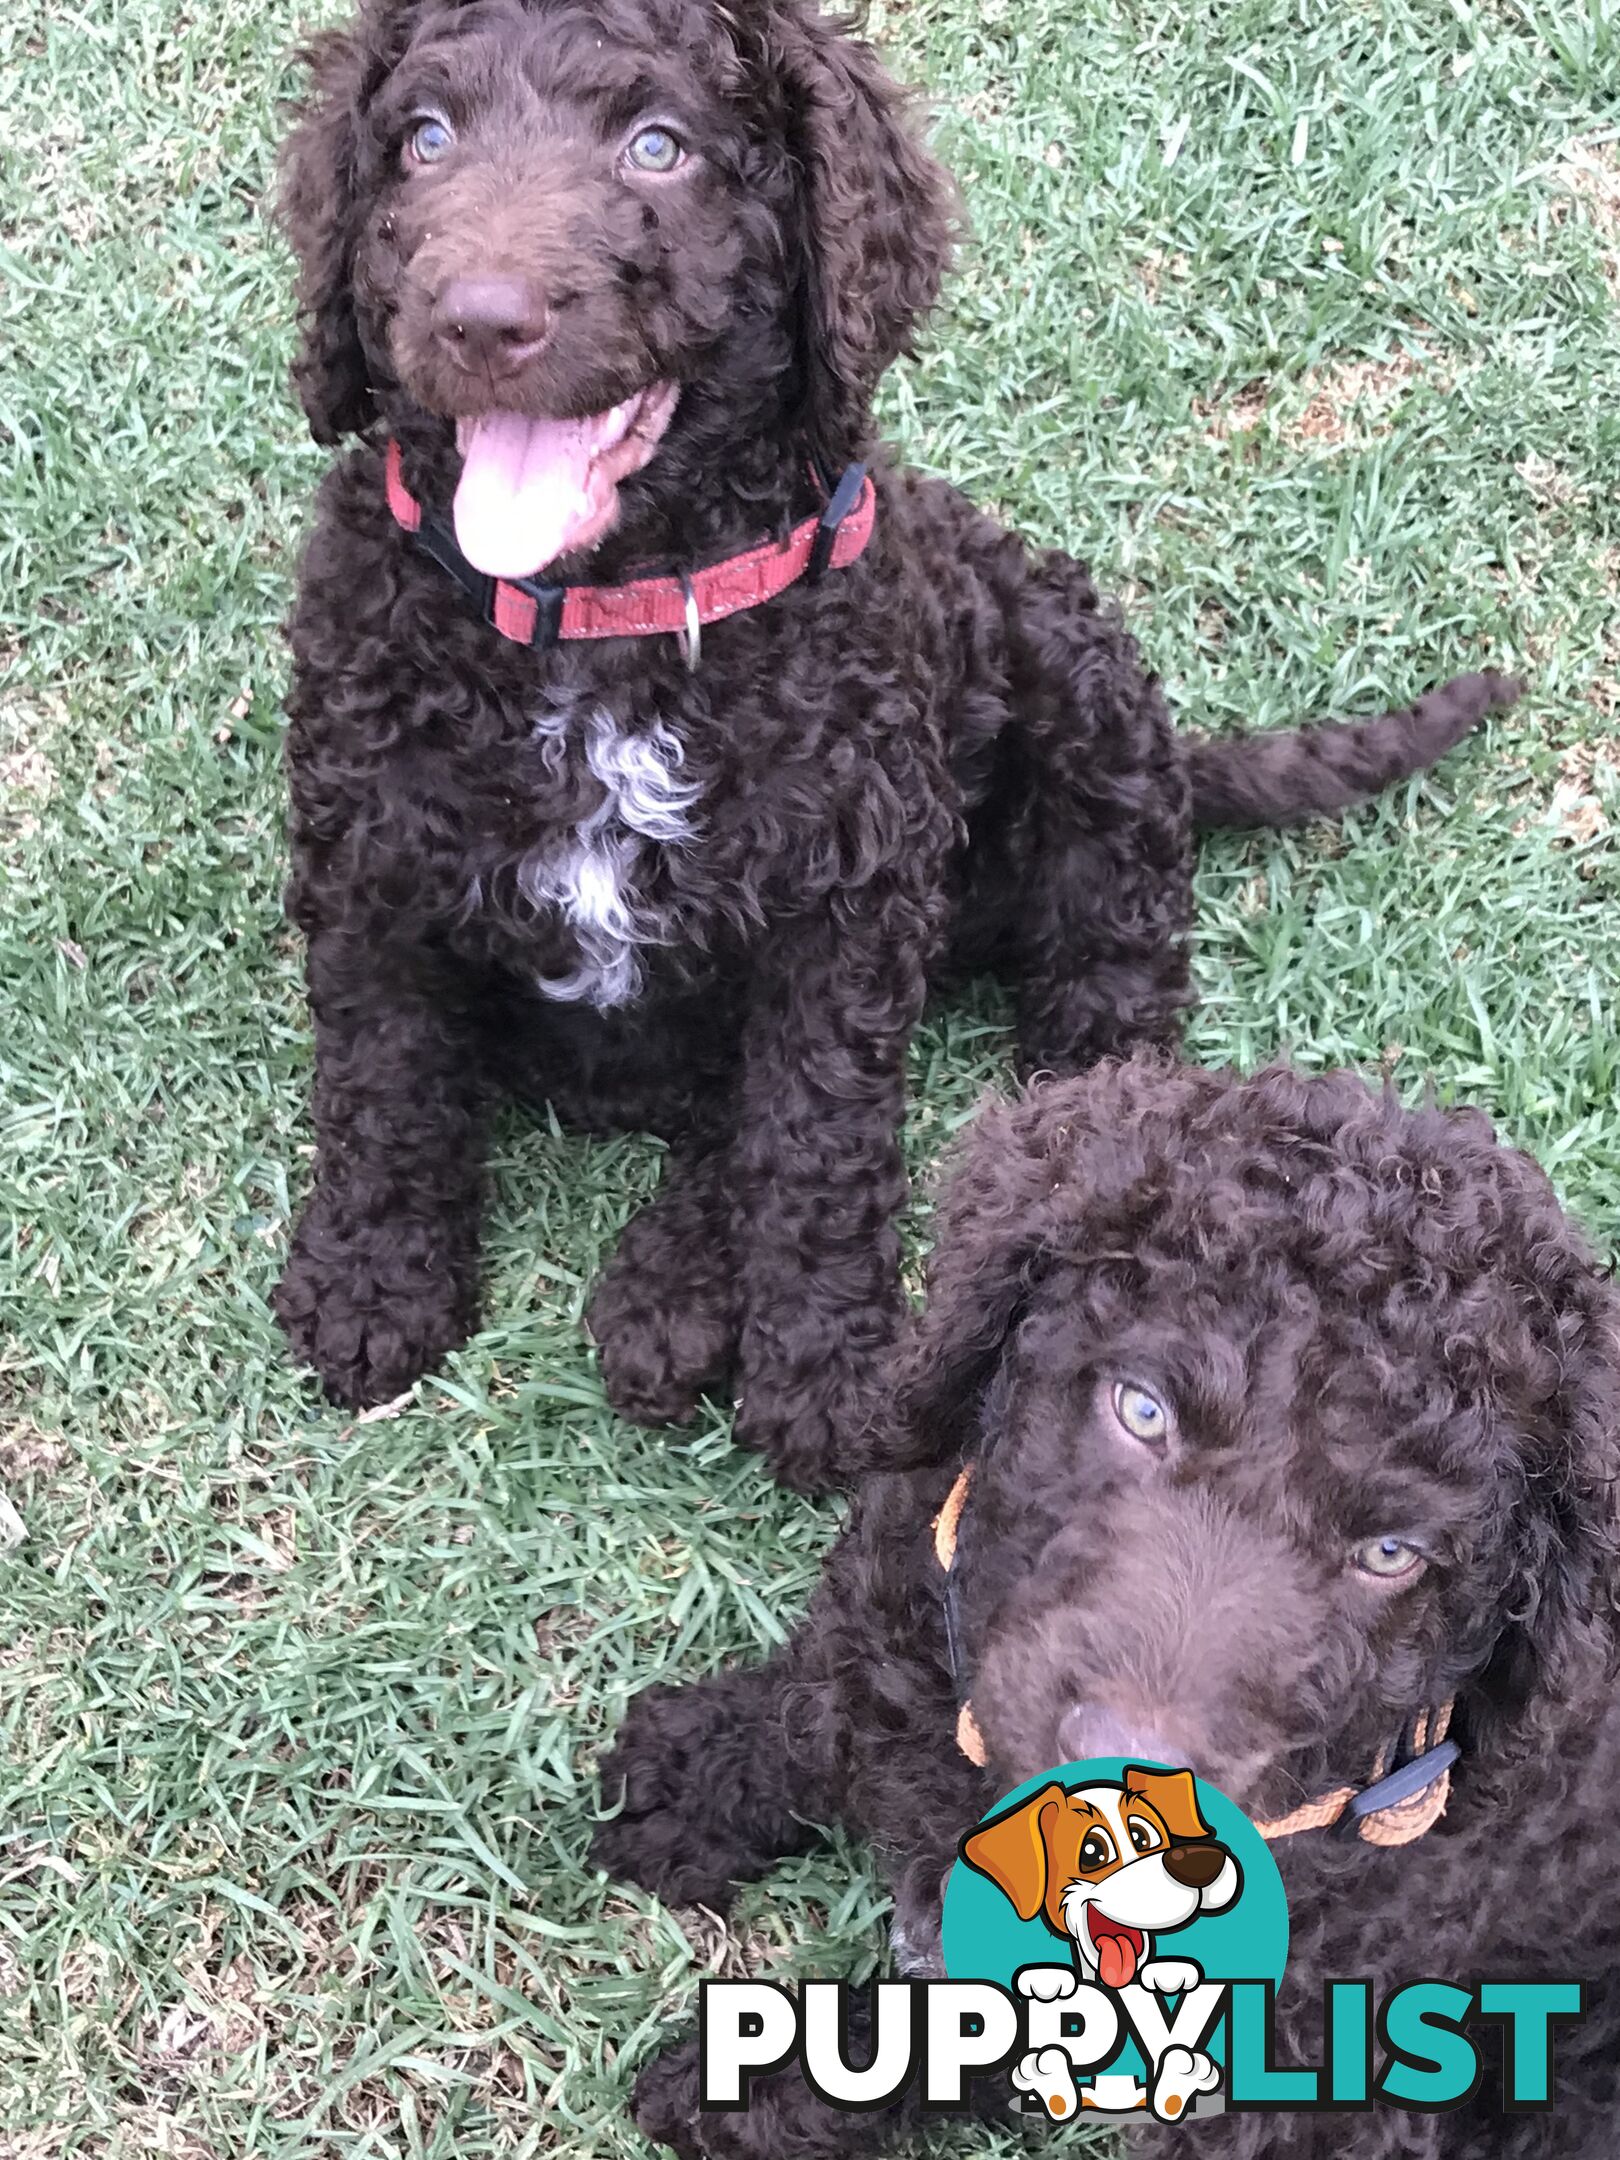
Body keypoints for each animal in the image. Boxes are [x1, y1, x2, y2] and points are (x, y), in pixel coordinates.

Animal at [270, 0, 1520, 1486]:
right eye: (423, 138)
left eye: (659, 147)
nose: (480, 318)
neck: (604, 620)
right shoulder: (369, 868)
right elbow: (383, 1085)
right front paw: (372, 1285)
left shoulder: (844, 911)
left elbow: (817, 1142)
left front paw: (827, 1375)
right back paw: (676, 1289)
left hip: (1079, 698)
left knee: (1103, 988)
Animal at [596, 1058, 1620, 2160]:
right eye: (1142, 1410)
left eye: (1392, 1555)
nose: (1118, 1770)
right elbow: (824, 1697)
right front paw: (696, 1775)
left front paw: (759, 2083)